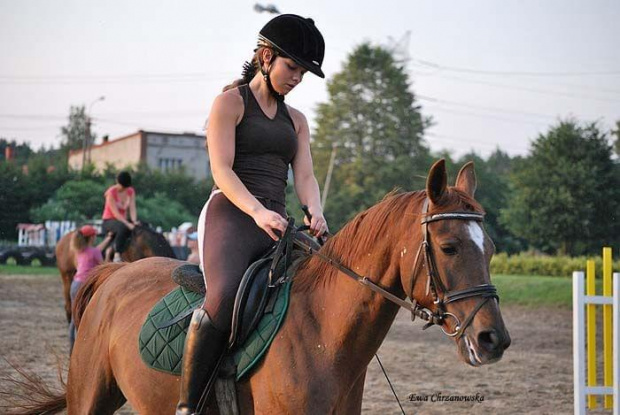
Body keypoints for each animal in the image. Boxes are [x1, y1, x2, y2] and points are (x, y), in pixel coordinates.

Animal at [26, 160, 508, 415]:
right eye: (448, 246)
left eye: (490, 248)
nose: (493, 339)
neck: (323, 331)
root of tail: (115, 276)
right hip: (90, 398)